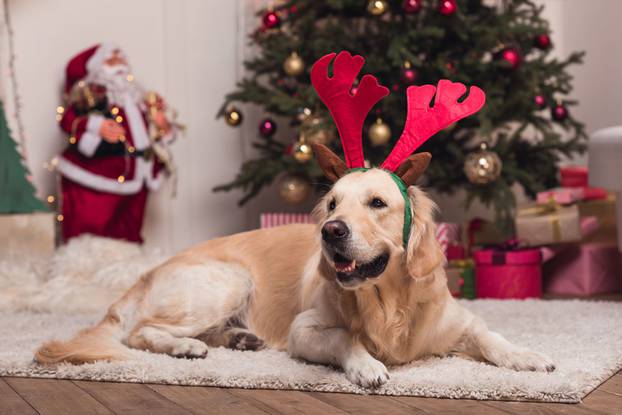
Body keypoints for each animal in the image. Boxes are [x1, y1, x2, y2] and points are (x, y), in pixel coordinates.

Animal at [35, 144, 556, 390]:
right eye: (332, 204)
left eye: (378, 202)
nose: (331, 232)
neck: (389, 304)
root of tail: (147, 273)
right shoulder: (305, 330)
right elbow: (346, 339)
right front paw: (367, 366)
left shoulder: (460, 321)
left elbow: (493, 336)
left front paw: (528, 356)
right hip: (228, 279)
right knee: (139, 332)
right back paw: (186, 347)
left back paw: (238, 338)